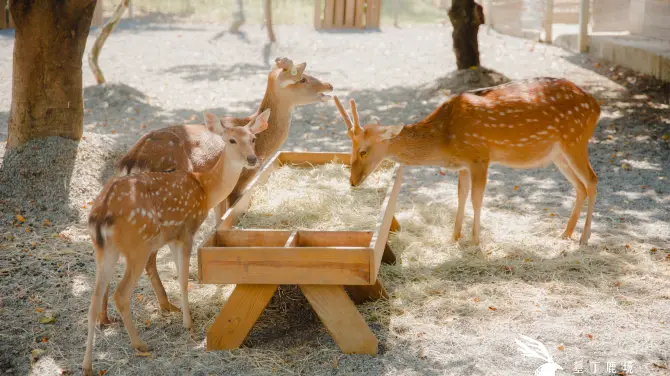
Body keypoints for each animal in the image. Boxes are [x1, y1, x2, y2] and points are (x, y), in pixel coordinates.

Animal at [84, 109, 270, 376]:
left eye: (253, 138)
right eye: (231, 140)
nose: (252, 159)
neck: (205, 188)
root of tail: (101, 215)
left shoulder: (173, 237)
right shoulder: (186, 230)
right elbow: (183, 280)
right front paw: (188, 324)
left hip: (104, 249)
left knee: (93, 298)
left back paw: (88, 364)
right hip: (137, 246)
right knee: (121, 293)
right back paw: (139, 344)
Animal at [336, 78, 604, 245]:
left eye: (363, 151)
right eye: (350, 147)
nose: (352, 181)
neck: (446, 138)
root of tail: (596, 106)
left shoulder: (479, 157)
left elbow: (477, 199)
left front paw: (475, 241)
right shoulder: (463, 164)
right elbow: (461, 196)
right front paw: (454, 236)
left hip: (575, 140)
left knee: (592, 179)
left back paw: (584, 237)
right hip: (557, 153)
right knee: (580, 186)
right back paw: (566, 233)